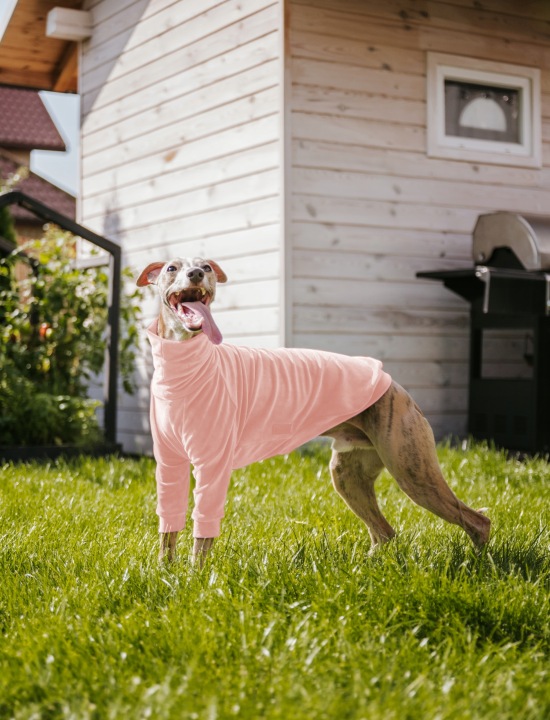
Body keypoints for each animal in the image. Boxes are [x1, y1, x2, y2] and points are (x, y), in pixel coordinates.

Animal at [137, 257, 490, 565]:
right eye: (171, 268)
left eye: (207, 267)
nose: (196, 273)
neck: (184, 367)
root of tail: (395, 385)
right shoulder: (169, 465)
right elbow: (167, 528)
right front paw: (165, 573)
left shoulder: (212, 467)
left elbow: (202, 533)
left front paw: (195, 578)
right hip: (348, 475)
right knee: (385, 532)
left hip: (412, 471)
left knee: (477, 521)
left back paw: (480, 564)